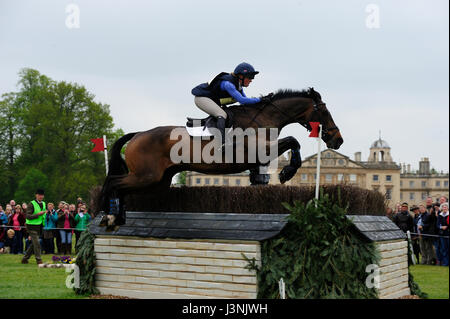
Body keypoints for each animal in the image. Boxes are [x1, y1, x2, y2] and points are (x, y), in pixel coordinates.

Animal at [99, 87, 344, 228]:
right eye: (324, 110)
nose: (337, 140)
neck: (265, 118)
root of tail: (138, 134)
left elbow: (264, 173)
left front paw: (283, 173)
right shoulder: (259, 149)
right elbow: (293, 141)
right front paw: (287, 172)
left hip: (157, 181)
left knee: (121, 187)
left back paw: (117, 217)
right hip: (145, 176)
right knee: (113, 183)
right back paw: (108, 215)